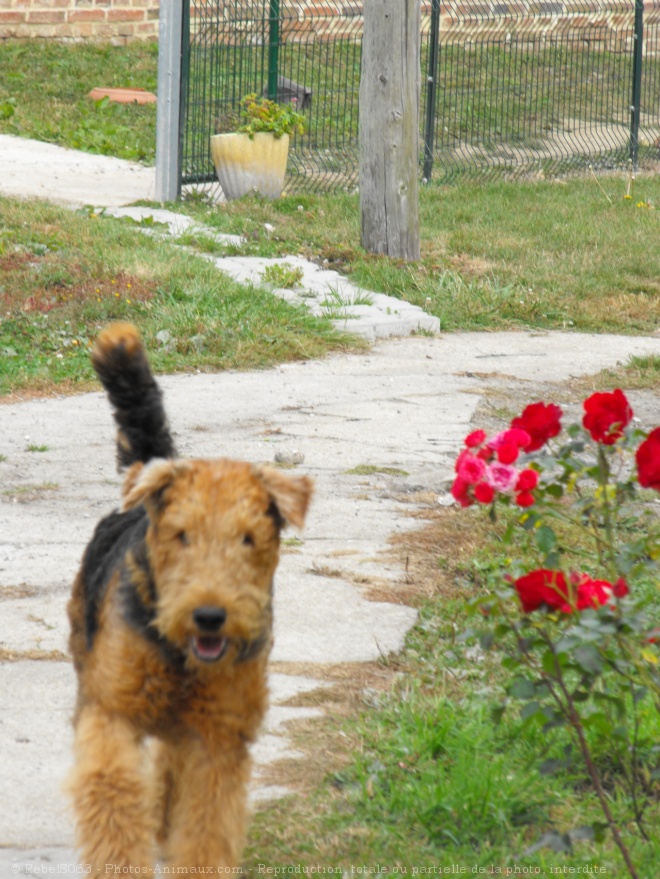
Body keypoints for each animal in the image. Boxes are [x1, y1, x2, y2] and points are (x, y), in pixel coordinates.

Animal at [66, 324, 312, 872]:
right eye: (182, 535)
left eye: (248, 538)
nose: (209, 616)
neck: (179, 654)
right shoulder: (113, 714)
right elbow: (114, 795)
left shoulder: (217, 737)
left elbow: (206, 825)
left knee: (169, 769)